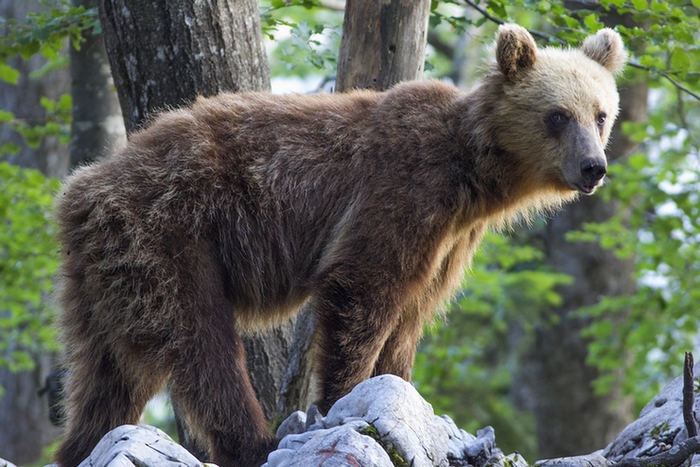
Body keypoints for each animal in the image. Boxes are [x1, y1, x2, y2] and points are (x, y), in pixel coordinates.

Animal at [52, 23, 628, 467]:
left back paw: (85, 445)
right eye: (557, 115)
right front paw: (342, 403)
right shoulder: (403, 189)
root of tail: (82, 187)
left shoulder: (452, 241)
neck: (473, 177)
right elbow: (364, 289)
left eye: (601, 114)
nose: (593, 167)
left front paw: (403, 389)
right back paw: (256, 441)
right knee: (202, 342)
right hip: (170, 233)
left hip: (106, 277)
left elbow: (411, 317)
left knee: (106, 378)